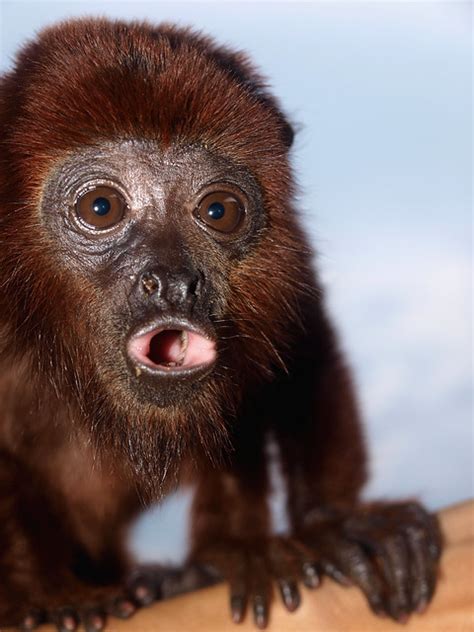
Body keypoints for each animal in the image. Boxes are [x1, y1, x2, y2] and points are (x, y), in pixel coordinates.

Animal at [0, 17, 440, 632]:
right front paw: (44, 596)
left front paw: (334, 521)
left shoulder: (286, 251)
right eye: (101, 208)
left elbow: (302, 349)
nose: (173, 280)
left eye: (218, 211)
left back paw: (209, 564)